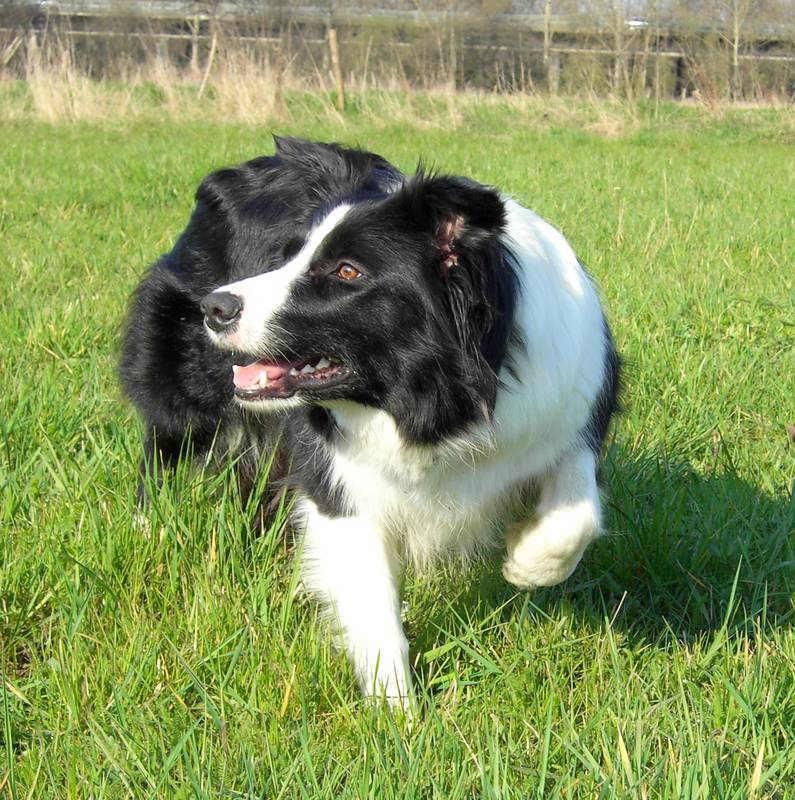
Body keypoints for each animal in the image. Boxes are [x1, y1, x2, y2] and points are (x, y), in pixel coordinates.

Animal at [121, 138, 620, 708]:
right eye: (285, 257)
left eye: (346, 272)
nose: (215, 307)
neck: (432, 403)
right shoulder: (339, 477)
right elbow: (372, 595)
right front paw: (396, 712)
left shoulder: (569, 407)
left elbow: (576, 515)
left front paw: (526, 563)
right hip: (180, 374)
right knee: (164, 446)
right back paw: (149, 532)